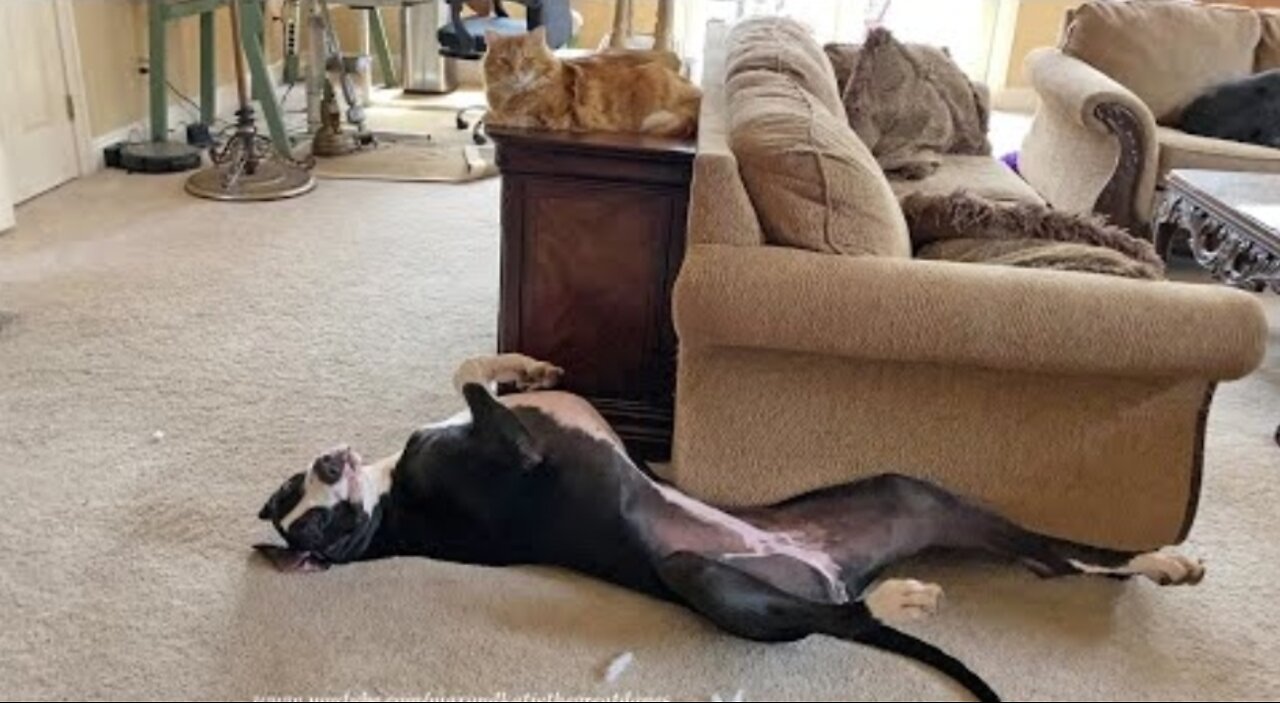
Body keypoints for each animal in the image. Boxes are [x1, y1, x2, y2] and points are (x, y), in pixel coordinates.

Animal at [481, 28, 701, 138]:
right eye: (504, 61)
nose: (516, 73)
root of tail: (697, 95)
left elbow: (509, 117)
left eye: (527, 59)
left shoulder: (552, 119)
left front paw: (489, 116)